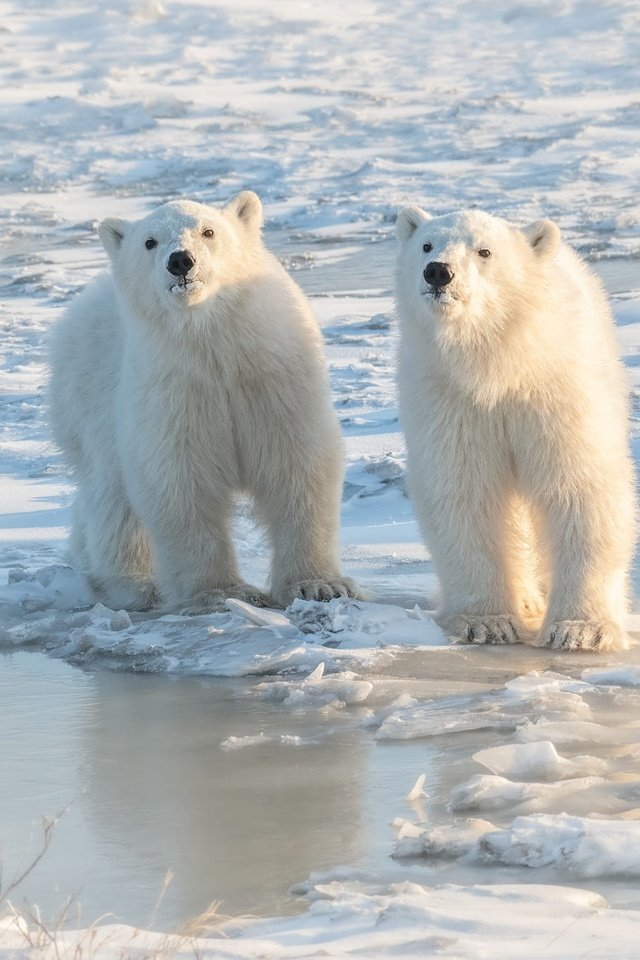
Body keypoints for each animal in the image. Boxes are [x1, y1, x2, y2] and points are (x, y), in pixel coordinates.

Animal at [48, 194, 362, 612]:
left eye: (208, 231)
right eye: (149, 242)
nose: (181, 260)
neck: (214, 343)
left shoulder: (275, 379)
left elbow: (296, 465)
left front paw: (320, 585)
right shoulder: (174, 390)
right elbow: (181, 480)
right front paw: (222, 592)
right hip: (90, 401)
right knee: (112, 497)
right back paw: (131, 584)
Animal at [396, 203, 636, 652]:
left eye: (484, 251)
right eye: (427, 245)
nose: (438, 272)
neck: (500, 365)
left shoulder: (555, 392)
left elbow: (579, 487)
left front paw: (580, 629)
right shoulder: (453, 403)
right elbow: (464, 492)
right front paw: (486, 623)